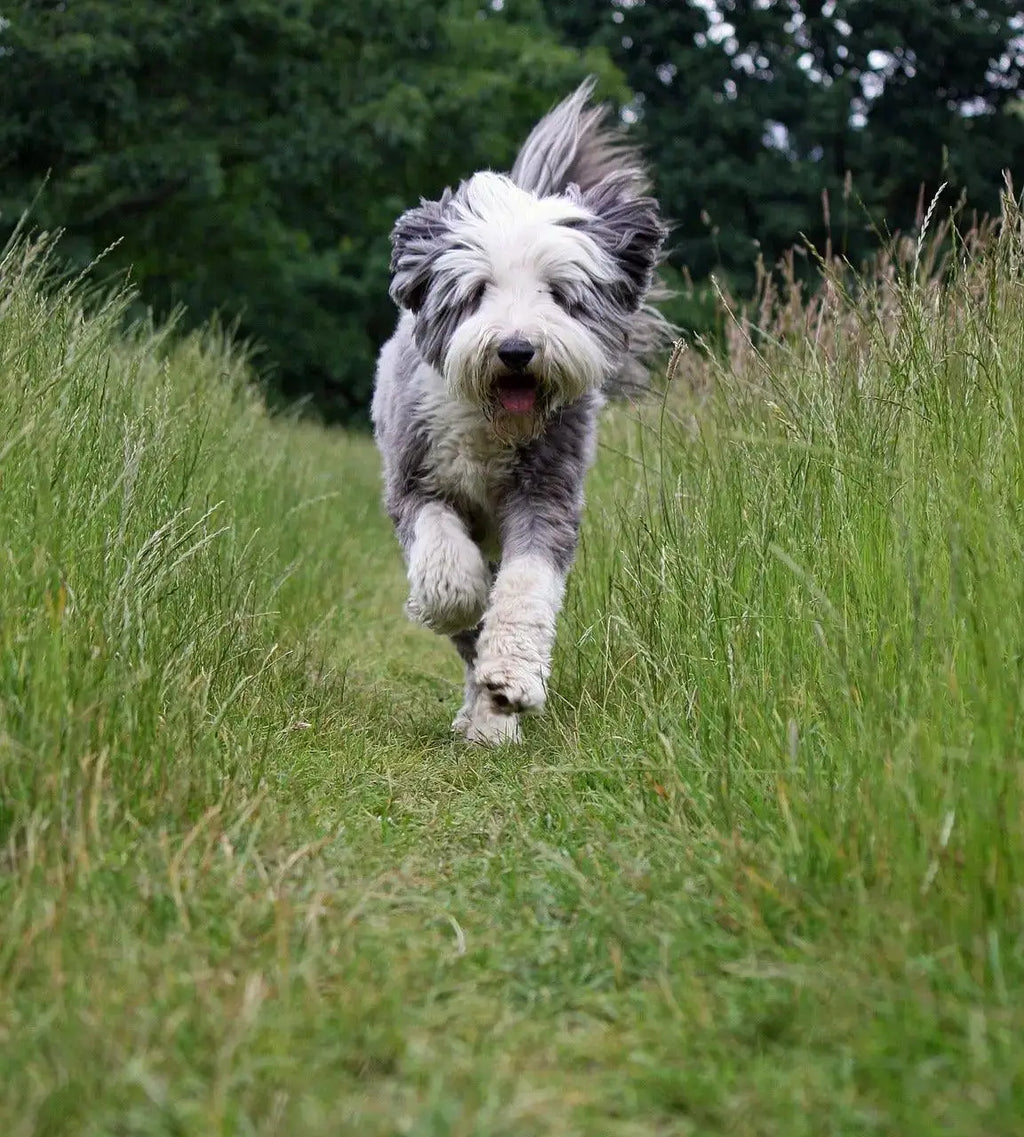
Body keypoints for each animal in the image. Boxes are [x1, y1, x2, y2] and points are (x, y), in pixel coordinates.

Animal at [370, 75, 677, 741]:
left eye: (559, 294)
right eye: (478, 290)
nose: (515, 350)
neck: (491, 424)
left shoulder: (547, 492)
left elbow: (525, 586)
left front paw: (510, 680)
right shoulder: (415, 479)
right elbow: (447, 566)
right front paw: (453, 601)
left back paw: (491, 718)